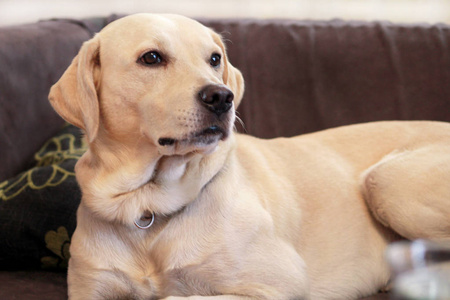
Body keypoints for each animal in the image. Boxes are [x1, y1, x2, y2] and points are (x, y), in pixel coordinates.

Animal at [49, 12, 450, 298]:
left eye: (214, 58)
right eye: (151, 58)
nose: (221, 97)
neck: (147, 207)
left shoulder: (280, 283)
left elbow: (185, 297)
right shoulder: (89, 290)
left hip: (387, 183)